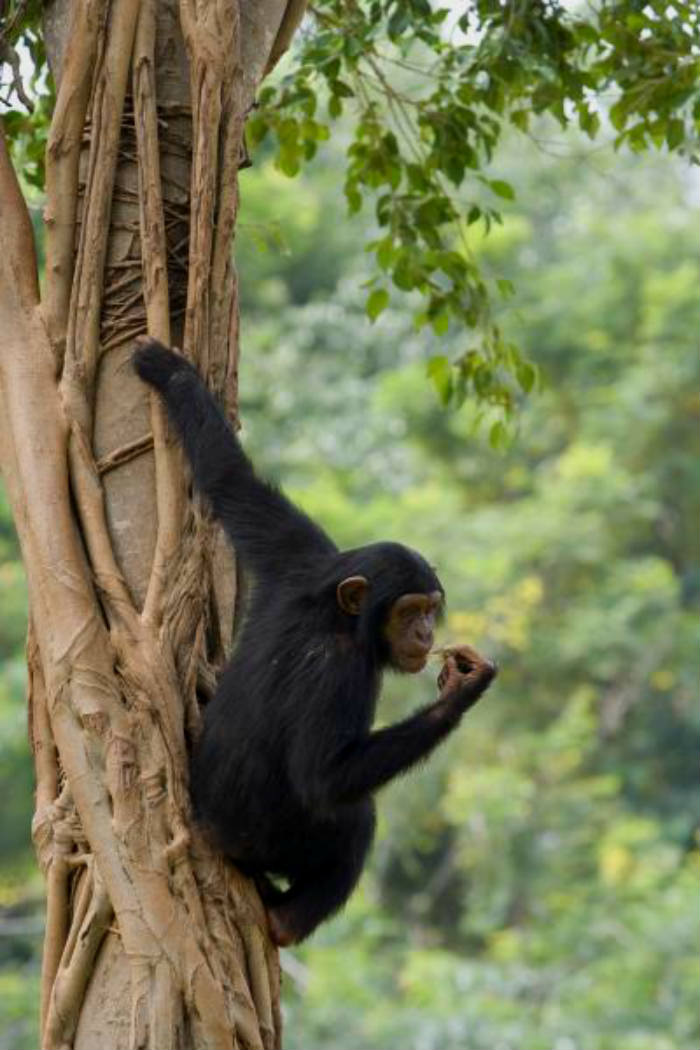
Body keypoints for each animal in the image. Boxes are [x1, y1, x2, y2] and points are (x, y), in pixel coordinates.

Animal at [132, 340, 497, 949]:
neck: (340, 618)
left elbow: (233, 482)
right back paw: (287, 919)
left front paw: (169, 371)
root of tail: (206, 828)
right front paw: (460, 694)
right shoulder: (339, 671)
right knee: (357, 820)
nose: (426, 633)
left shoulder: (300, 551)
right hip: (270, 843)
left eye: (429, 608)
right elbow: (326, 775)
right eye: (409, 612)